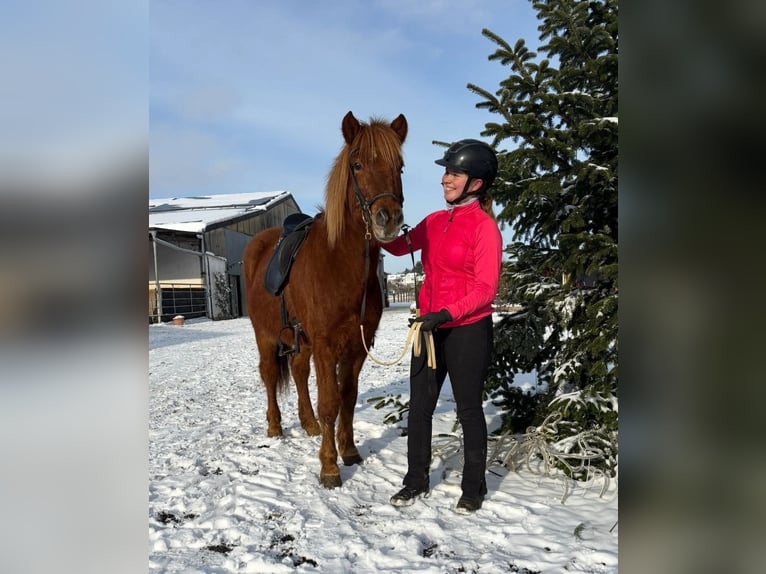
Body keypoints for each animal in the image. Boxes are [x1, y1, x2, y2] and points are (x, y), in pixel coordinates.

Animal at [243, 111, 408, 488]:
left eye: (400, 166)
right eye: (357, 164)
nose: (388, 219)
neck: (340, 265)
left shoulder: (357, 346)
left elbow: (347, 399)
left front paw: (349, 451)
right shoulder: (326, 344)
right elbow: (330, 402)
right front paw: (329, 466)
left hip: (301, 341)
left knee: (299, 373)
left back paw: (308, 424)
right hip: (266, 336)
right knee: (270, 375)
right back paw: (275, 426)